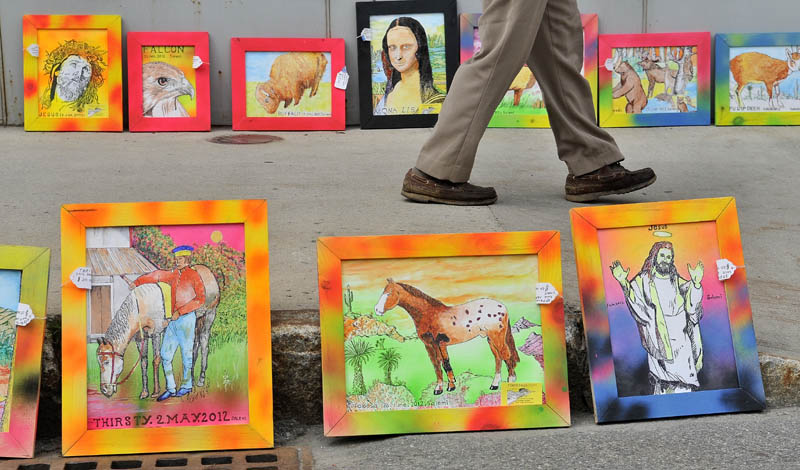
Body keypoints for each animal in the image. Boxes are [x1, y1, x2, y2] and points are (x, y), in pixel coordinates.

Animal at [376, 280, 520, 394]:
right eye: (383, 292)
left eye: (389, 293)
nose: (377, 309)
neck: (429, 315)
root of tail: (502, 306)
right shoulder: (429, 345)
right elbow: (436, 365)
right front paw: (441, 388)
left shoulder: (440, 343)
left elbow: (445, 364)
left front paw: (449, 387)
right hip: (490, 339)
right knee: (498, 358)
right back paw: (494, 385)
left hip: (497, 337)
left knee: (506, 356)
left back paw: (511, 383)